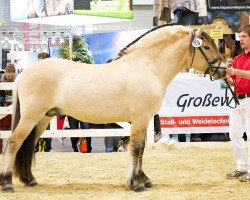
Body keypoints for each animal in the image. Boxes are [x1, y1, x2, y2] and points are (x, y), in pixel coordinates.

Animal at [0, 24, 226, 192]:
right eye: (206, 47)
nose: (223, 70)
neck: (147, 66)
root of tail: (25, 73)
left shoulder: (143, 121)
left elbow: (141, 149)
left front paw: (143, 179)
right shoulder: (141, 118)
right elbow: (136, 148)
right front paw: (136, 183)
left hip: (43, 118)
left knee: (28, 144)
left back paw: (30, 179)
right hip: (31, 116)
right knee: (14, 142)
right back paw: (8, 183)